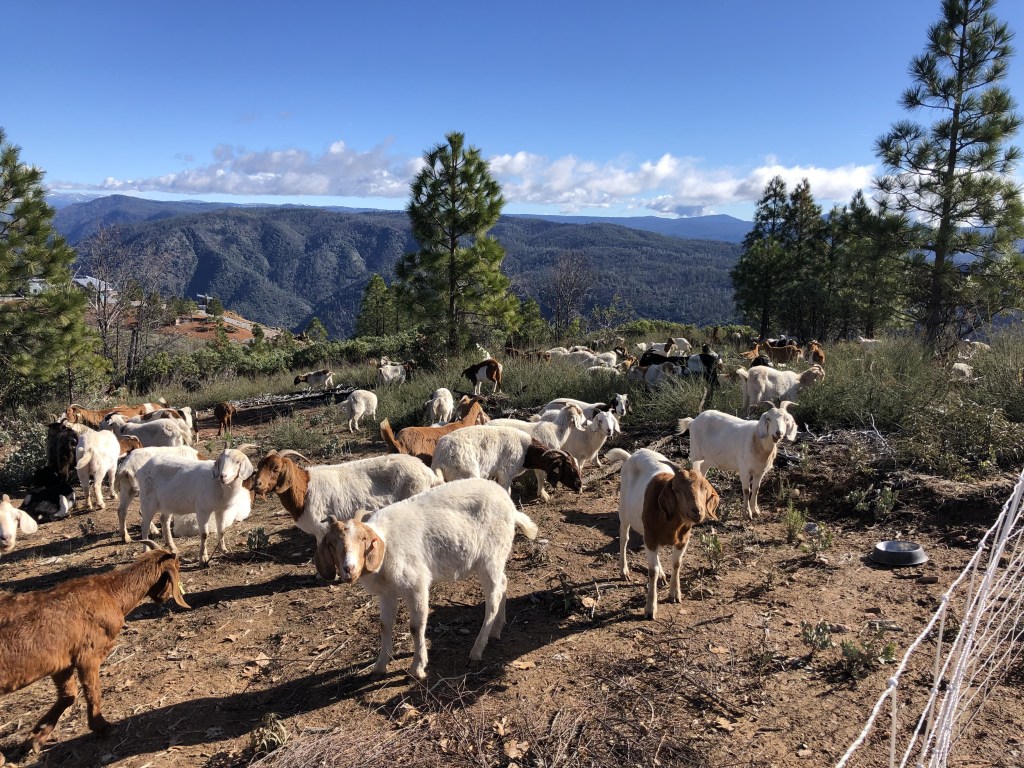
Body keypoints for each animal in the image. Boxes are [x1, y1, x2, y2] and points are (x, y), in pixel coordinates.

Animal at [0, 542, 188, 757]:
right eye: (177, 568)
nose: (164, 598)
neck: (111, 592)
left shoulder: (62, 663)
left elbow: (68, 695)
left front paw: (37, 738)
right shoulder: (88, 655)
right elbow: (93, 691)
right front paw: (102, 726)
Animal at [247, 450, 441, 542]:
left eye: (276, 468)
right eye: (259, 467)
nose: (257, 484)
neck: (305, 488)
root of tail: (428, 472)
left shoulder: (322, 528)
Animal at [313, 479, 538, 679]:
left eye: (363, 539)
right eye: (331, 543)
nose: (348, 569)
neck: (386, 546)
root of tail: (510, 505)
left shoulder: (416, 585)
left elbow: (416, 627)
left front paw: (418, 668)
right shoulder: (387, 593)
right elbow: (385, 626)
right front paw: (379, 666)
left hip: (490, 557)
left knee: (493, 597)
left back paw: (476, 650)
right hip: (497, 558)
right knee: (503, 583)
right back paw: (497, 628)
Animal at [431, 425, 583, 497]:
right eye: (571, 469)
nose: (579, 485)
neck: (527, 450)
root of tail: (439, 459)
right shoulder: (505, 474)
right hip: (467, 475)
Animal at [605, 448, 720, 619]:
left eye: (704, 488)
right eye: (677, 490)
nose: (697, 511)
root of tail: (630, 456)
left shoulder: (682, 539)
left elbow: (676, 563)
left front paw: (675, 594)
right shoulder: (651, 537)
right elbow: (651, 571)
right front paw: (650, 609)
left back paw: (661, 576)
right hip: (624, 509)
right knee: (624, 537)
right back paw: (624, 571)